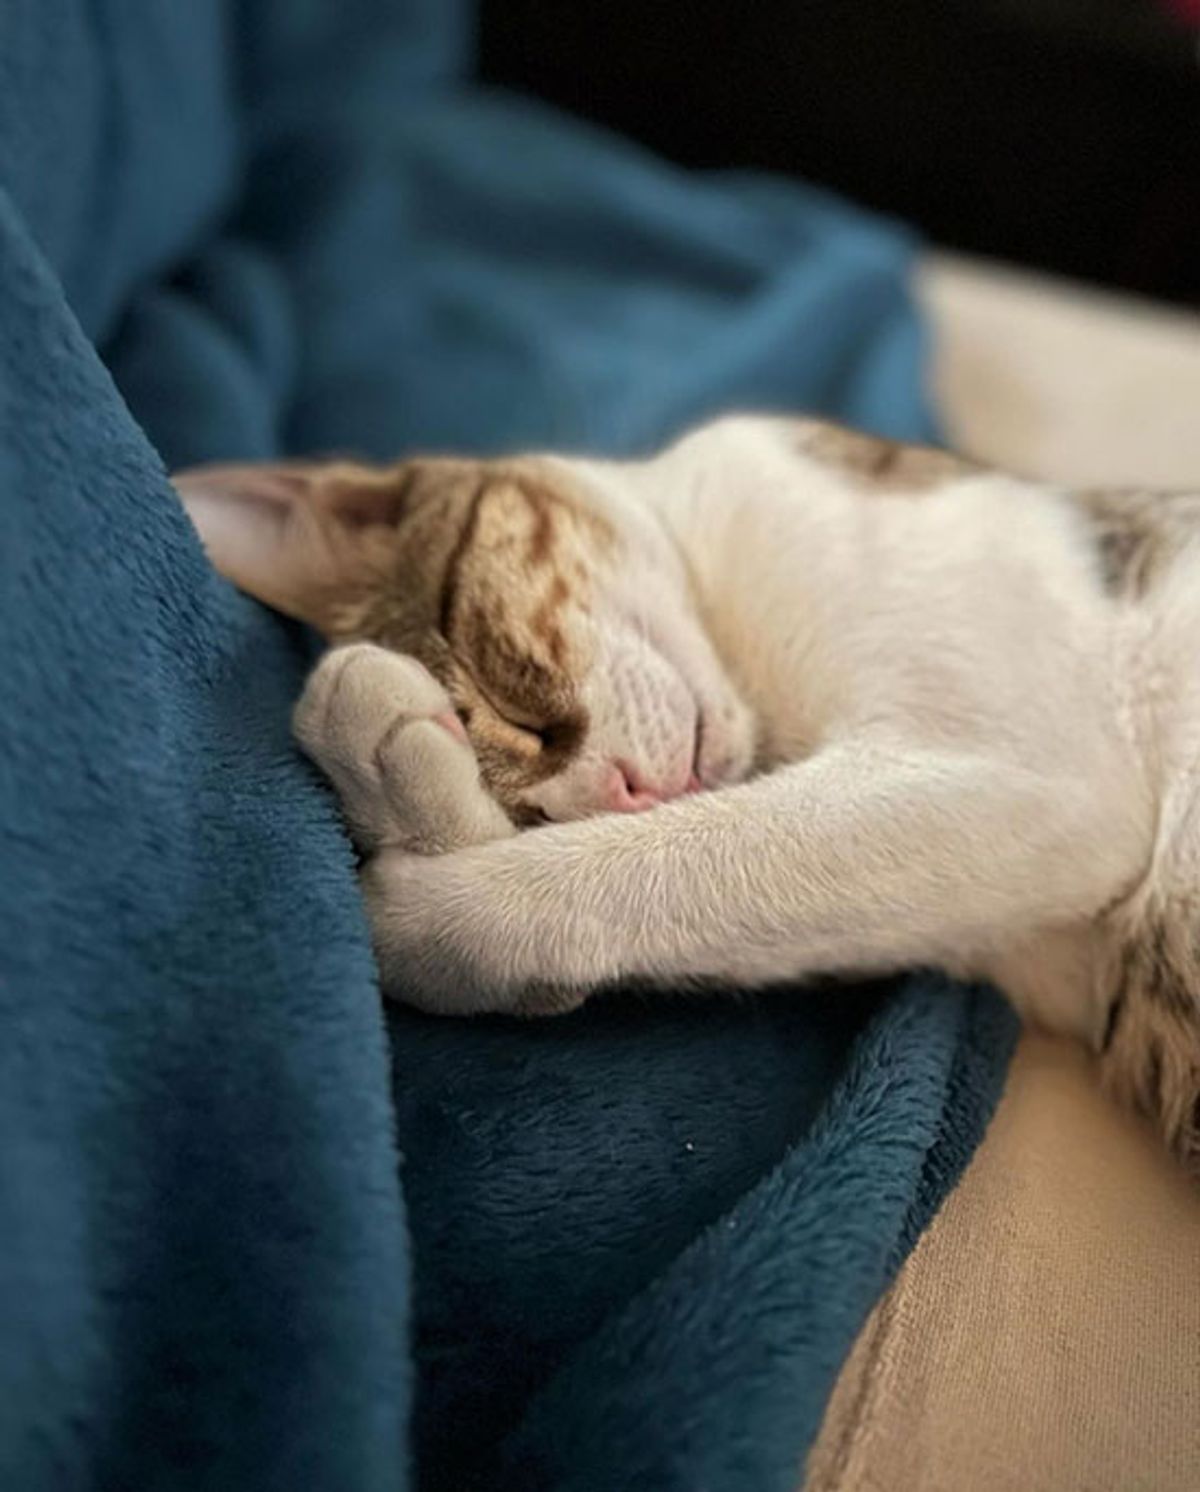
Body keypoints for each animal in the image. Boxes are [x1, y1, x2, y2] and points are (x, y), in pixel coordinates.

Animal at [175, 415, 1200, 1172]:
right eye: (529, 806)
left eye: (511, 701)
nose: (619, 791)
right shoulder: (1019, 932)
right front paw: (408, 784)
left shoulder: (1040, 780)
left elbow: (655, 870)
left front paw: (414, 908)